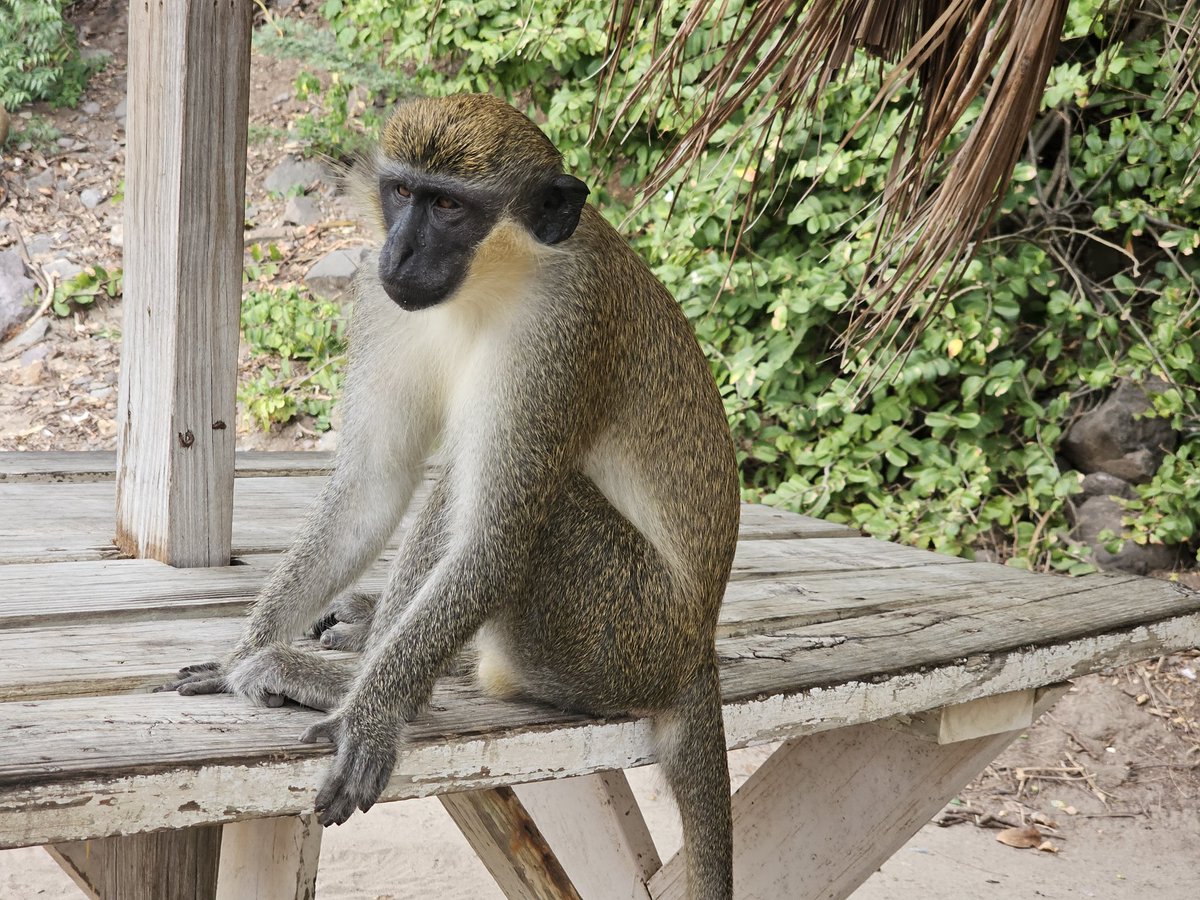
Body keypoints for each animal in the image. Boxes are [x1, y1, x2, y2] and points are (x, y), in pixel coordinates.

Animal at [162, 93, 740, 899]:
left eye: (449, 207)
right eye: (403, 193)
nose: (399, 254)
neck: (498, 282)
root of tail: (696, 649)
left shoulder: (564, 327)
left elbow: (496, 539)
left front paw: (372, 715)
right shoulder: (382, 301)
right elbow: (371, 483)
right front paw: (244, 651)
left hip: (624, 637)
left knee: (520, 503)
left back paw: (364, 686)